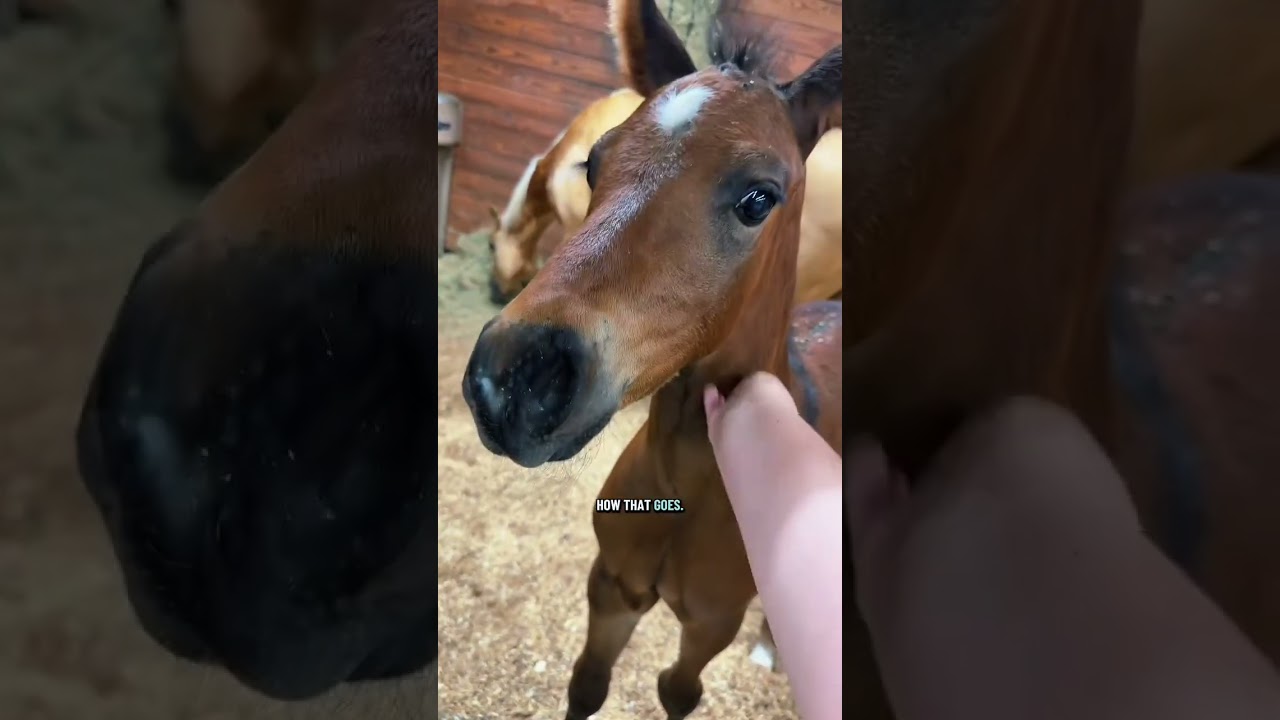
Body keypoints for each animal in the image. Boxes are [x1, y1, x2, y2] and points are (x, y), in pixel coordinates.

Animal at [460, 0, 842, 716]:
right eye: (594, 165)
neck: (685, 492)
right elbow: (586, 683)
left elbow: (678, 690)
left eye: (759, 198)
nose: (513, 381)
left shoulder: (711, 625)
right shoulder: (611, 585)